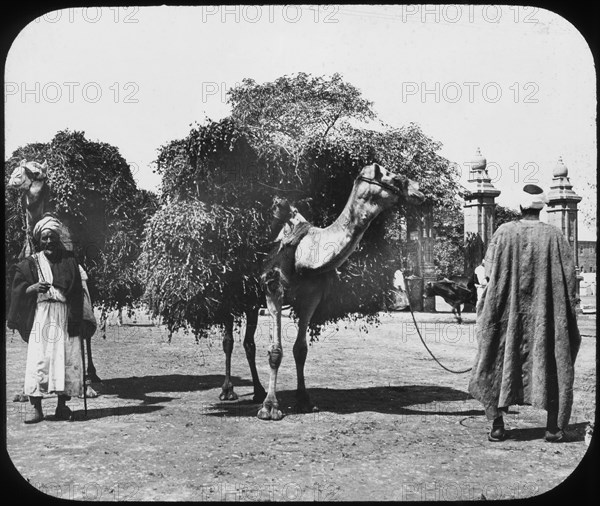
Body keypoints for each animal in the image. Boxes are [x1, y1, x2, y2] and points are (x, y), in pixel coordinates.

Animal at [7, 160, 101, 398]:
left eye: (36, 172)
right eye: (19, 168)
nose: (13, 178)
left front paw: (86, 386)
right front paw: (24, 392)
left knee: (86, 333)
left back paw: (91, 378)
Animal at [255, 164, 424, 422]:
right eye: (394, 177)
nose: (419, 190)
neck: (303, 252)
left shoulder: (311, 296)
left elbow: (300, 349)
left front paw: (305, 401)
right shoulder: (273, 288)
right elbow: (275, 351)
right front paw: (270, 407)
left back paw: (253, 390)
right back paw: (235, 392)